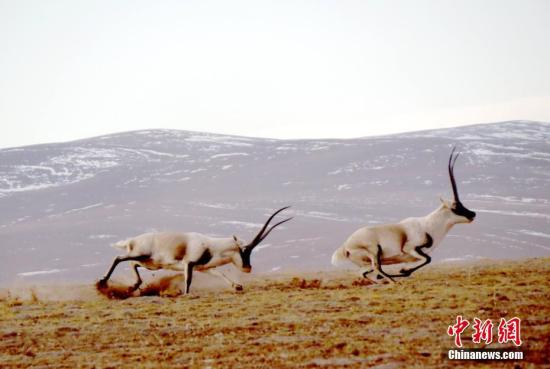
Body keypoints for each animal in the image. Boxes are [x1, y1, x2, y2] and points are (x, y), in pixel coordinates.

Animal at [97, 207, 294, 294]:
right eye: (245, 250)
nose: (248, 268)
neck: (211, 245)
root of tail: (131, 240)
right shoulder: (189, 264)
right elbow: (188, 280)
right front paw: (186, 294)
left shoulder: (204, 268)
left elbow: (220, 274)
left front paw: (237, 286)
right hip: (141, 255)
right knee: (119, 258)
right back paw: (102, 283)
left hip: (150, 264)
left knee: (132, 264)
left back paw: (133, 286)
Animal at [332, 148, 478, 284]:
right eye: (455, 207)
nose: (473, 214)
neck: (428, 225)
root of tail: (345, 246)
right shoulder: (410, 248)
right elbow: (428, 259)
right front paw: (403, 270)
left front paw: (403, 270)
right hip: (374, 251)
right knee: (377, 268)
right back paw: (392, 281)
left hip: (366, 263)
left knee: (365, 273)